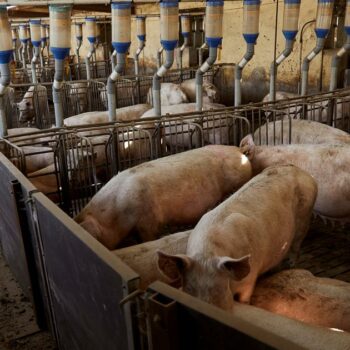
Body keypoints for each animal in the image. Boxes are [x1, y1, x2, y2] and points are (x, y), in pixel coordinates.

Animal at [158, 165, 318, 310]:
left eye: (220, 289)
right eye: (189, 289)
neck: (207, 255)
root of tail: (301, 171)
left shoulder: (250, 279)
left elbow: (244, 298)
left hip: (304, 218)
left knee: (296, 246)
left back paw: (291, 265)